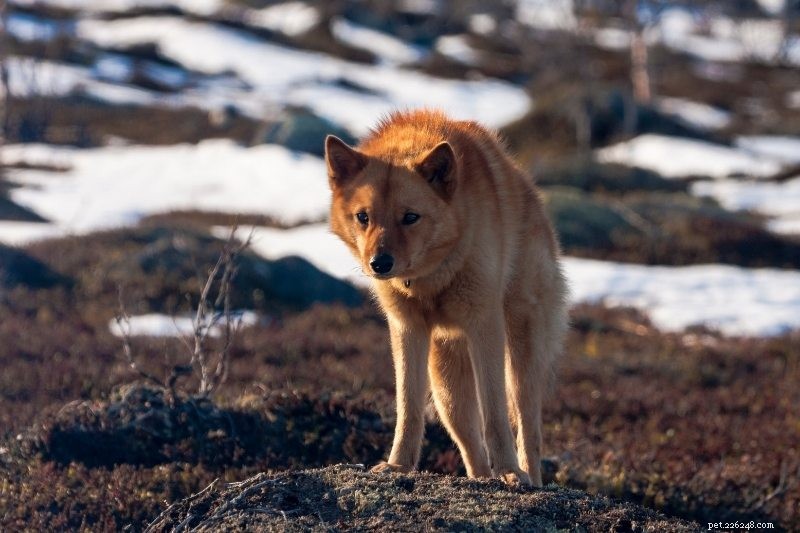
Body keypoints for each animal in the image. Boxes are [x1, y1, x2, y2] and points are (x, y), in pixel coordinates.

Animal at [324, 109, 568, 487]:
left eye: (410, 217)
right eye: (363, 217)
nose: (380, 263)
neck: (430, 280)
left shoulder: (484, 326)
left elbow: (495, 416)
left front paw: (509, 472)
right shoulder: (407, 329)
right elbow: (407, 409)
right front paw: (397, 466)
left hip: (521, 359)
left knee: (528, 428)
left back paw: (528, 478)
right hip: (447, 390)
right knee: (470, 444)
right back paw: (481, 480)